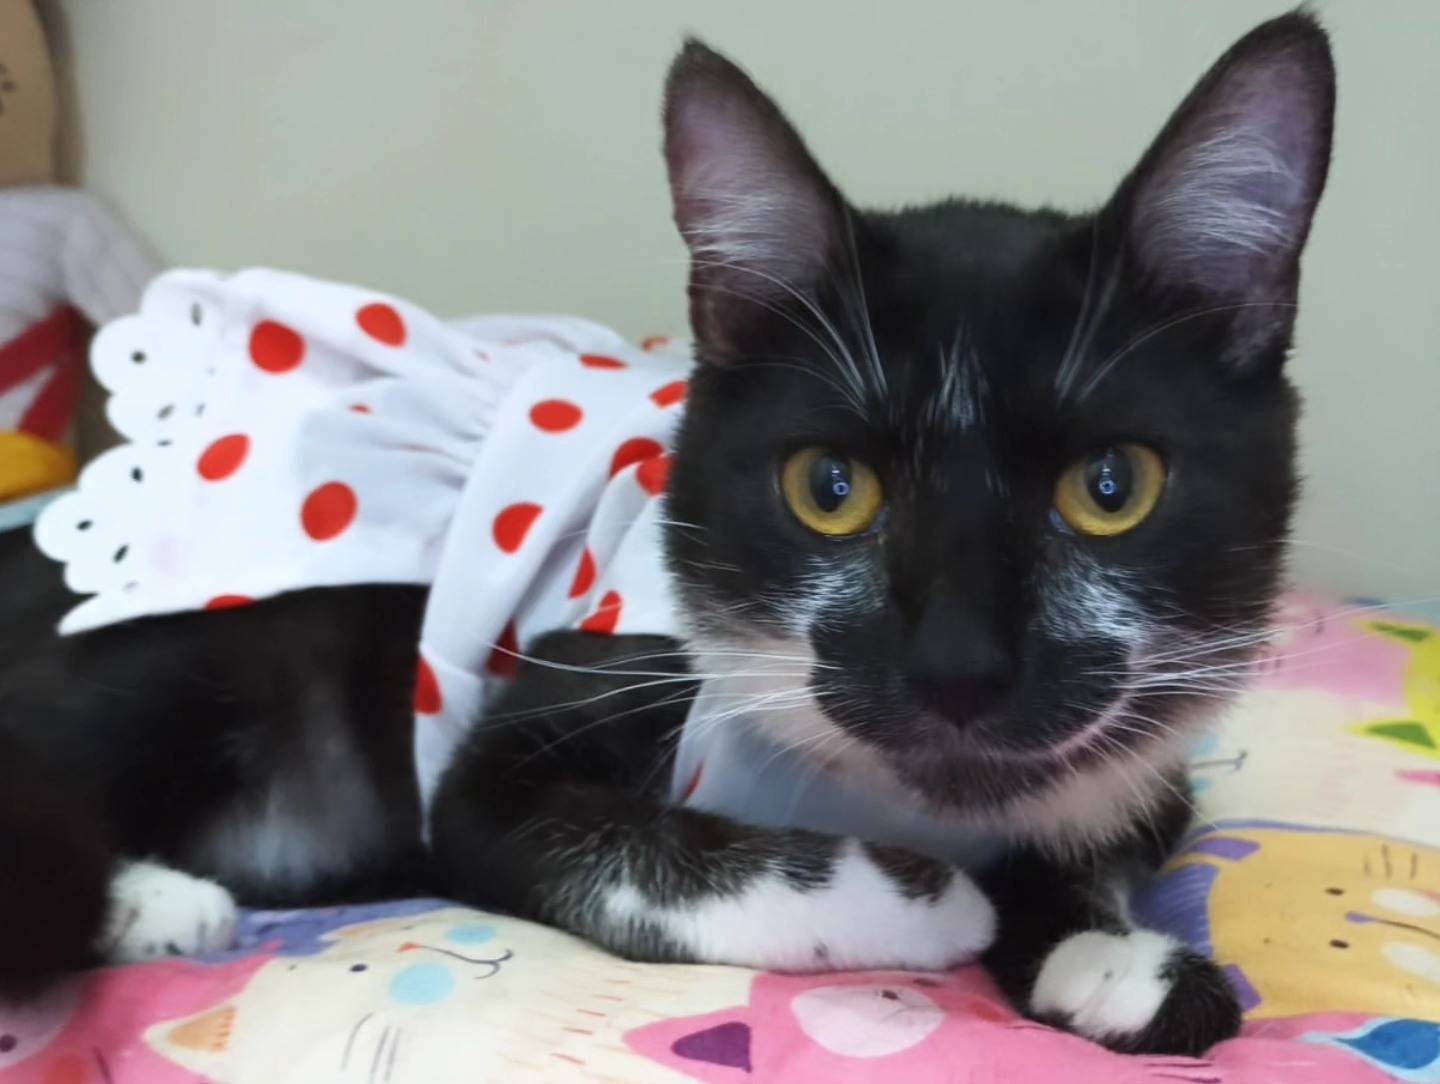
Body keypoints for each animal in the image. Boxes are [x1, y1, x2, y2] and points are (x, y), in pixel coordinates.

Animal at [0, 10, 1335, 1059]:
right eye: (828, 486)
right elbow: (610, 850)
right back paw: (157, 901)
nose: (958, 664)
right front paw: (930, 900)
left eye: (1111, 486)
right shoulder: (523, 745)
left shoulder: (1144, 752)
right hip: (205, 647)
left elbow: (1119, 824)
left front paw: (1108, 954)